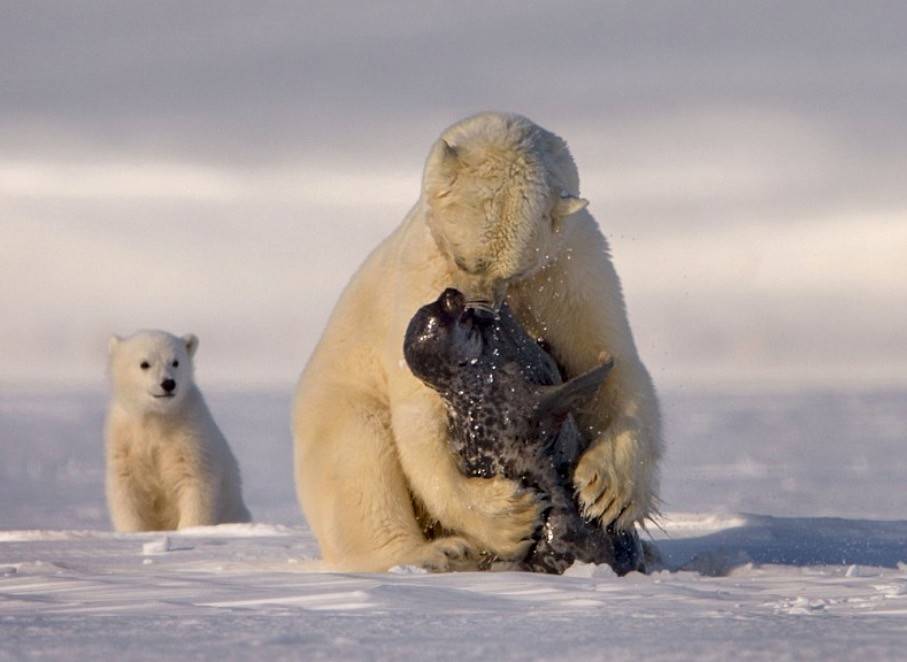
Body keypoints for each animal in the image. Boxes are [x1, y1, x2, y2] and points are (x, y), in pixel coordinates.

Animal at [294, 113, 664, 572]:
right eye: (464, 260)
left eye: (513, 270)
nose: (476, 308)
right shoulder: (421, 275)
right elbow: (421, 421)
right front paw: (508, 517)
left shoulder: (571, 267)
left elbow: (614, 362)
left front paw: (607, 491)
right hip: (336, 402)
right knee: (358, 462)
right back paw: (439, 551)